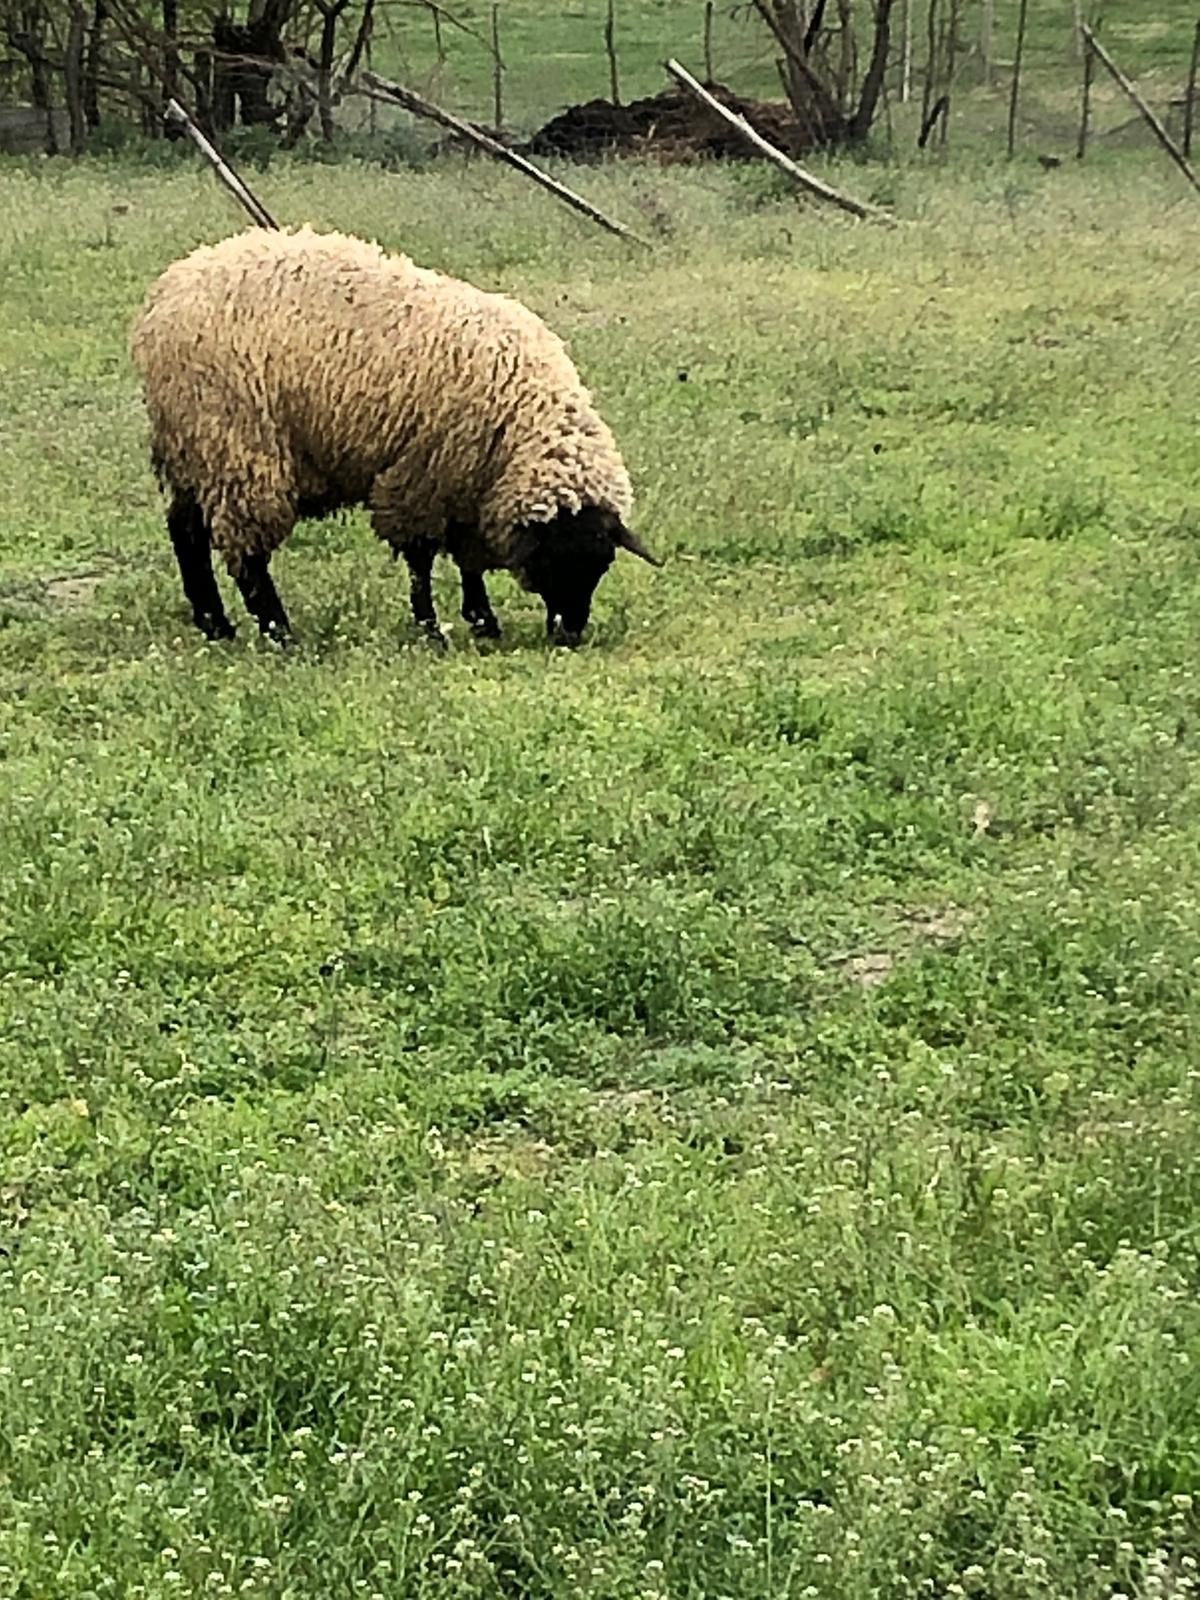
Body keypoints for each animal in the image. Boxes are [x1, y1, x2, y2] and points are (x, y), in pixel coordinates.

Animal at [131, 225, 662, 649]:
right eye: (557, 559)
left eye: (601, 565)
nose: (570, 634)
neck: (519, 420)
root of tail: (164, 297)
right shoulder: (422, 476)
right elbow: (422, 559)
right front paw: (431, 627)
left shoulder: (465, 488)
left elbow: (468, 561)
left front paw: (482, 621)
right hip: (237, 443)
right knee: (246, 551)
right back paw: (278, 631)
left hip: (197, 448)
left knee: (186, 532)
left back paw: (214, 623)